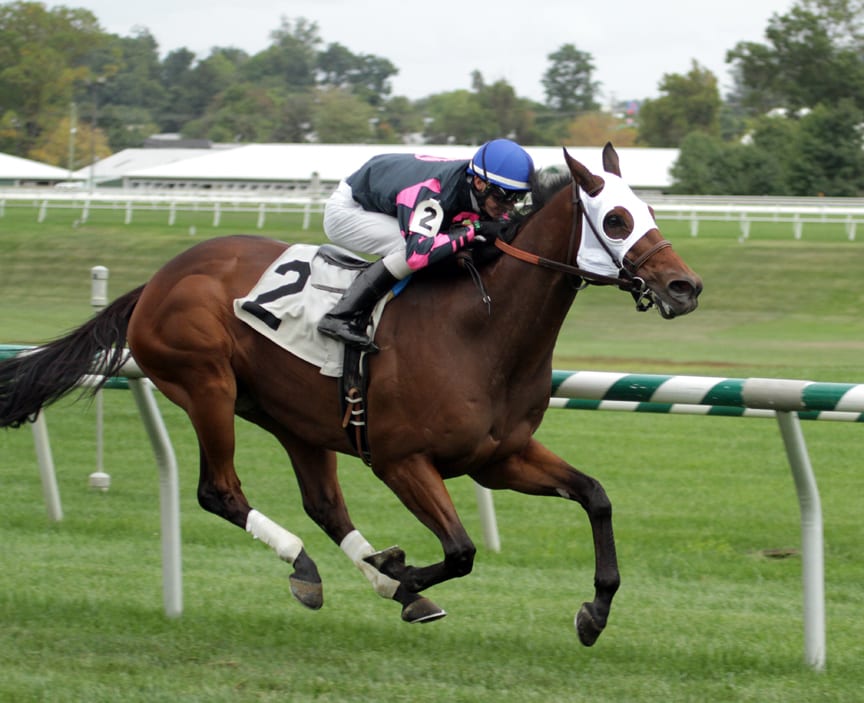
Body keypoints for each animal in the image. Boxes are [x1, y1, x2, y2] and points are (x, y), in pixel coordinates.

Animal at [0, 144, 700, 648]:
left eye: (651, 214)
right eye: (616, 220)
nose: (685, 287)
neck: (482, 328)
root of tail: (154, 282)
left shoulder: (499, 458)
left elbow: (596, 497)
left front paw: (595, 611)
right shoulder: (401, 460)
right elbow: (461, 550)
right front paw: (401, 571)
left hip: (294, 419)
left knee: (324, 506)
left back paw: (373, 582)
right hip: (206, 385)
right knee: (219, 491)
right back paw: (320, 569)